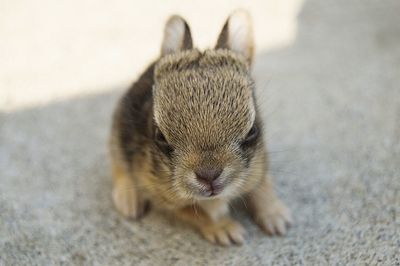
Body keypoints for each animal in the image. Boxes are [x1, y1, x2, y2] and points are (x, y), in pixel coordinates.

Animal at [111, 10, 292, 247]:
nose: (209, 175)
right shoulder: (164, 197)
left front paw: (276, 217)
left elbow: (262, 186)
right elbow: (199, 213)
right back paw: (129, 202)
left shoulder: (259, 165)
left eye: (252, 131)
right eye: (160, 137)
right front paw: (226, 230)